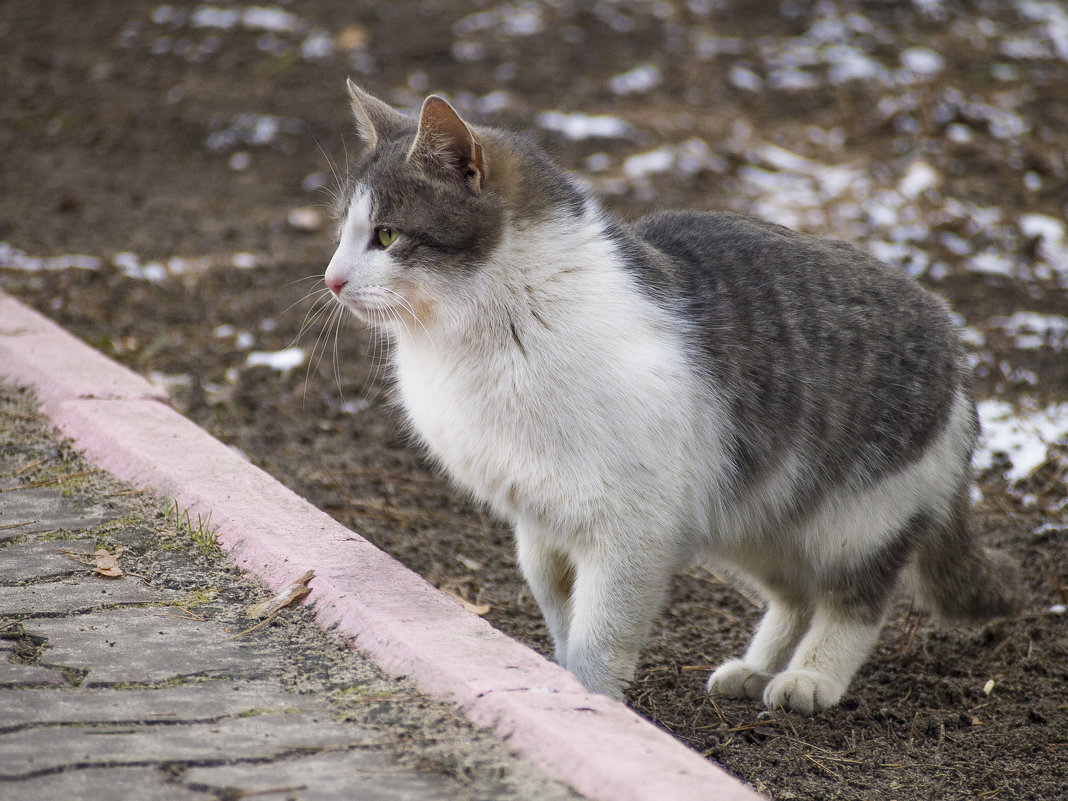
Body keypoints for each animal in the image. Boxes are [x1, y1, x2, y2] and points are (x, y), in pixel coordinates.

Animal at [322, 84, 1016, 717]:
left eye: (386, 235)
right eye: (344, 234)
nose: (331, 280)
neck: (498, 328)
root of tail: (957, 349)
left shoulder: (630, 529)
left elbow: (599, 635)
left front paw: (594, 705)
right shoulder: (539, 526)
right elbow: (561, 615)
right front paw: (564, 681)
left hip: (856, 523)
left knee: (854, 604)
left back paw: (809, 678)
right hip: (755, 519)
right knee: (795, 596)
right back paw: (756, 670)